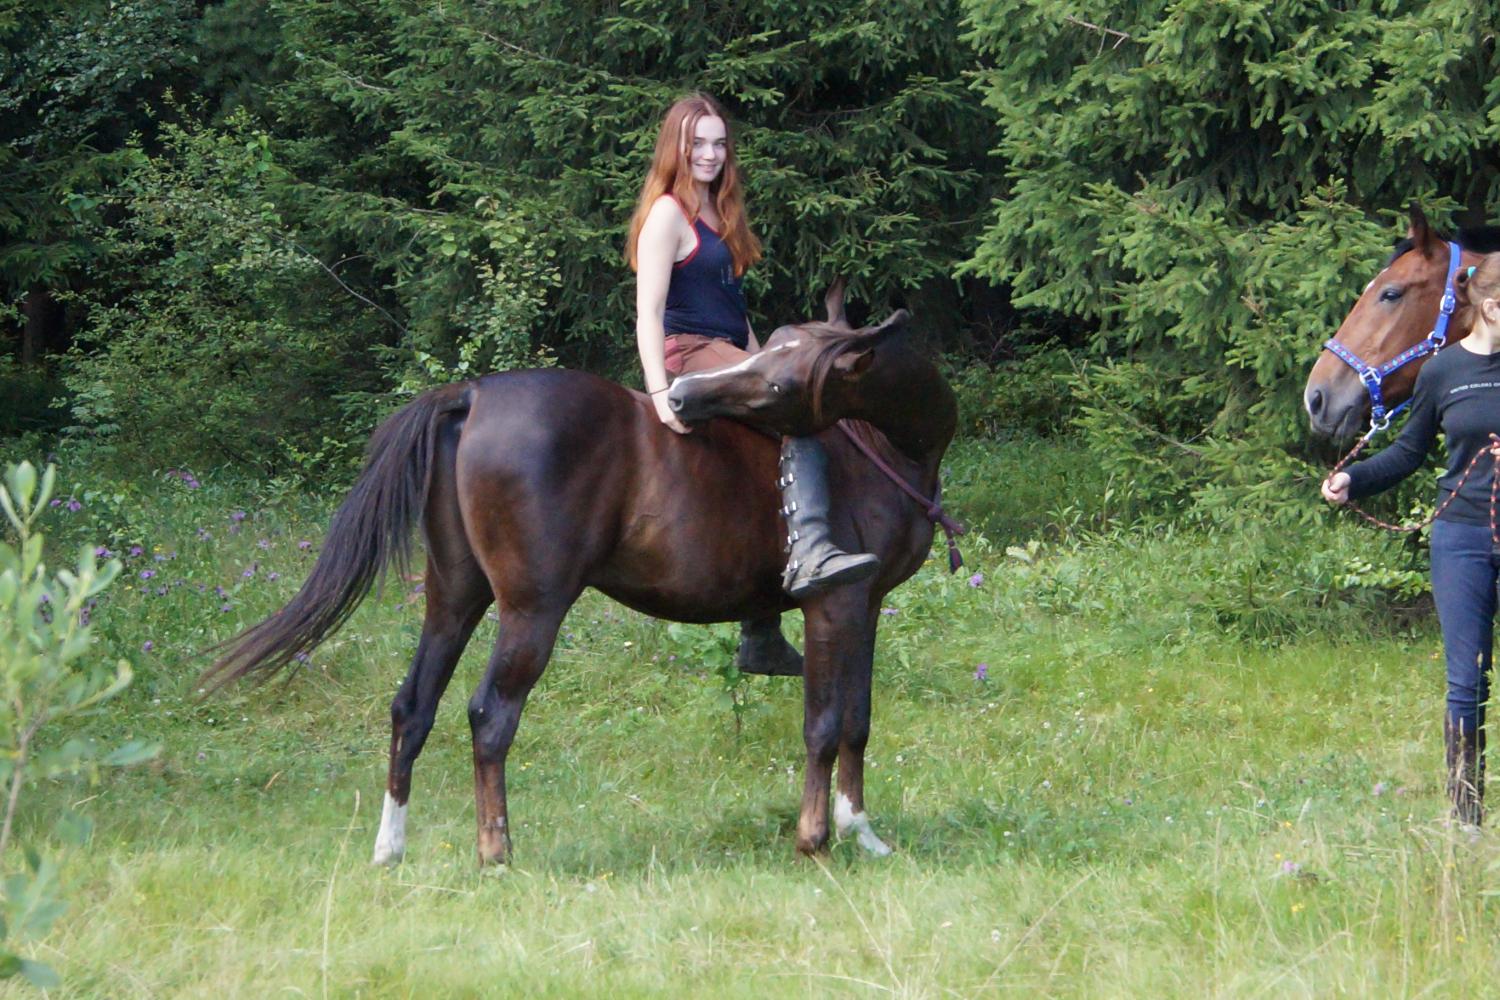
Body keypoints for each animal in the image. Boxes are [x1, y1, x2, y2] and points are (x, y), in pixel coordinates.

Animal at [204, 288, 958, 866]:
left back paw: (391, 848)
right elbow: (825, 724)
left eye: (782, 377)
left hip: (455, 596)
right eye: (768, 363)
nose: (685, 396)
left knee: (412, 707)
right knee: (490, 716)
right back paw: (496, 852)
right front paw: (816, 839)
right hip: (531, 608)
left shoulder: (866, 607)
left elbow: (859, 719)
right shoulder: (837, 604)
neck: (887, 448)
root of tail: (471, 396)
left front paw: (864, 833)